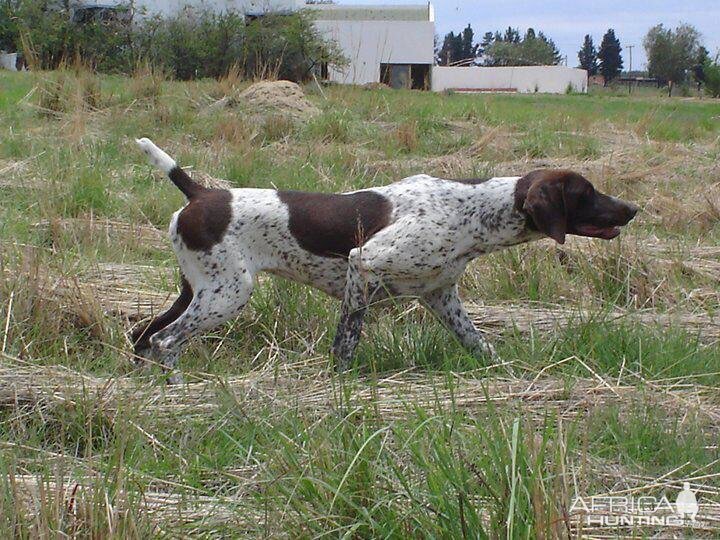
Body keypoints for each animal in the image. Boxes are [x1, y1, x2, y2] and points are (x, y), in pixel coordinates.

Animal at [132, 139, 640, 384]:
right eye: (587, 192)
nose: (633, 208)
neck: (472, 211)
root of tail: (199, 192)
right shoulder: (364, 265)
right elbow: (346, 342)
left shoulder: (441, 296)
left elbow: (480, 345)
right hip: (227, 294)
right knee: (165, 340)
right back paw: (180, 390)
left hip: (197, 289)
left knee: (143, 335)